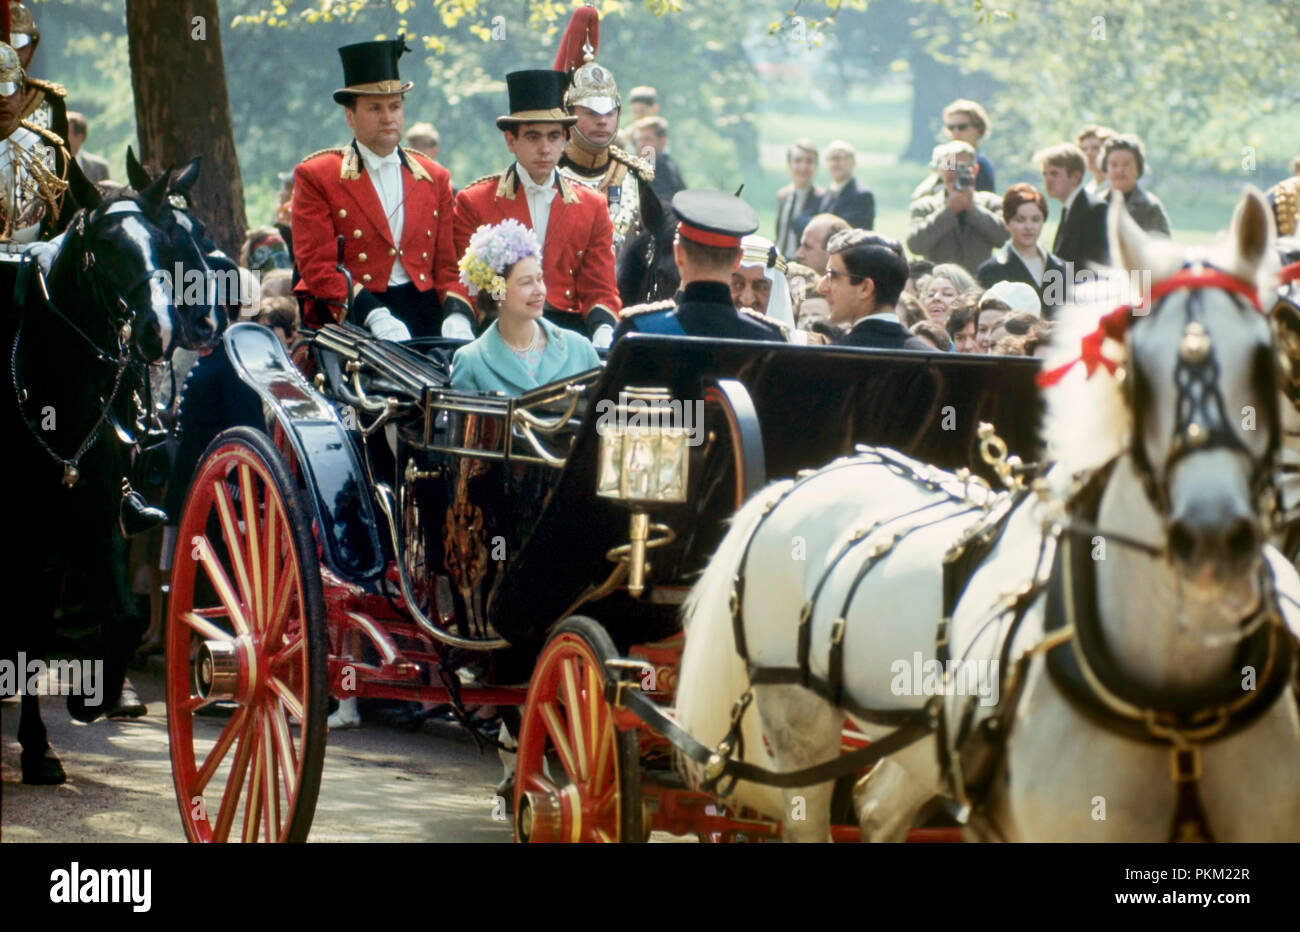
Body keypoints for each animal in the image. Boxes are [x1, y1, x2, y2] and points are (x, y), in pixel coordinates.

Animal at [3, 165, 217, 779]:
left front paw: (80, 709)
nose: (162, 329)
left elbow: (116, 616)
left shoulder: (93, 515)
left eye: (164, 243)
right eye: (105, 247)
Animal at [676, 187, 1300, 837]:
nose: (1212, 537)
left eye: (1265, 361)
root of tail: (803, 479)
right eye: (1137, 371)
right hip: (804, 713)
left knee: (866, 807)